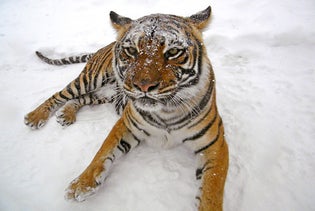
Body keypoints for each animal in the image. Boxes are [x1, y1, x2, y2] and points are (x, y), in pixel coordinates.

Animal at [24, 6, 230, 211]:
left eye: (173, 52)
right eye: (131, 50)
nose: (144, 86)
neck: (166, 111)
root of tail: (104, 46)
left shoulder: (215, 144)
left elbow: (213, 187)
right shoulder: (126, 124)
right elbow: (102, 152)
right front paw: (81, 185)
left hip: (102, 95)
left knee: (79, 100)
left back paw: (66, 115)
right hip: (90, 79)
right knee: (59, 94)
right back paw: (35, 117)